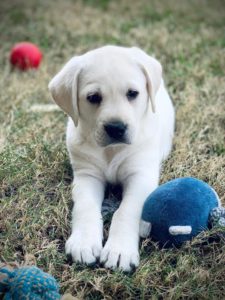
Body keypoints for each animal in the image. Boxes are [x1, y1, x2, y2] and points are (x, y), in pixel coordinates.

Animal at [48, 45, 175, 272]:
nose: (116, 128)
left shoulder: (140, 175)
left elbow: (126, 211)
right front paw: (84, 242)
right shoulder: (87, 175)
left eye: (132, 93)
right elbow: (86, 207)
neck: (111, 151)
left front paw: (120, 250)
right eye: (93, 97)